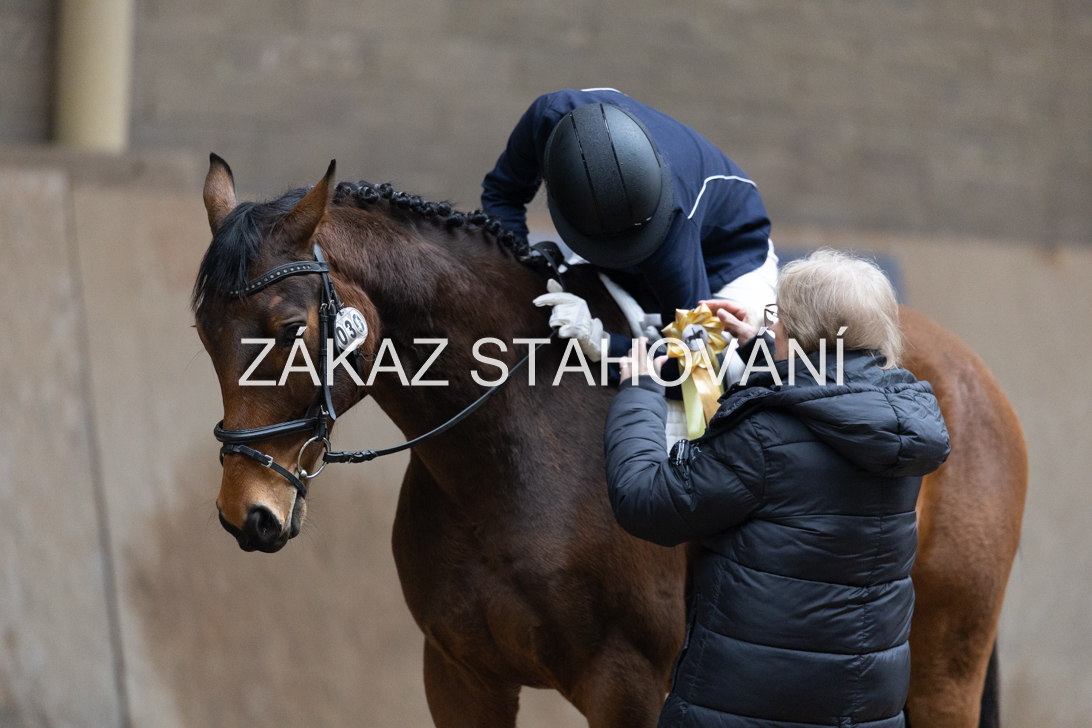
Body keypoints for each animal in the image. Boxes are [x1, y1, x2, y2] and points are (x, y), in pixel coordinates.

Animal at [193, 157, 1026, 728]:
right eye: (204, 332)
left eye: (290, 329)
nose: (247, 512)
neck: (512, 448)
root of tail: (968, 373)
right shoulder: (461, 675)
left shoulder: (627, 685)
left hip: (943, 667)